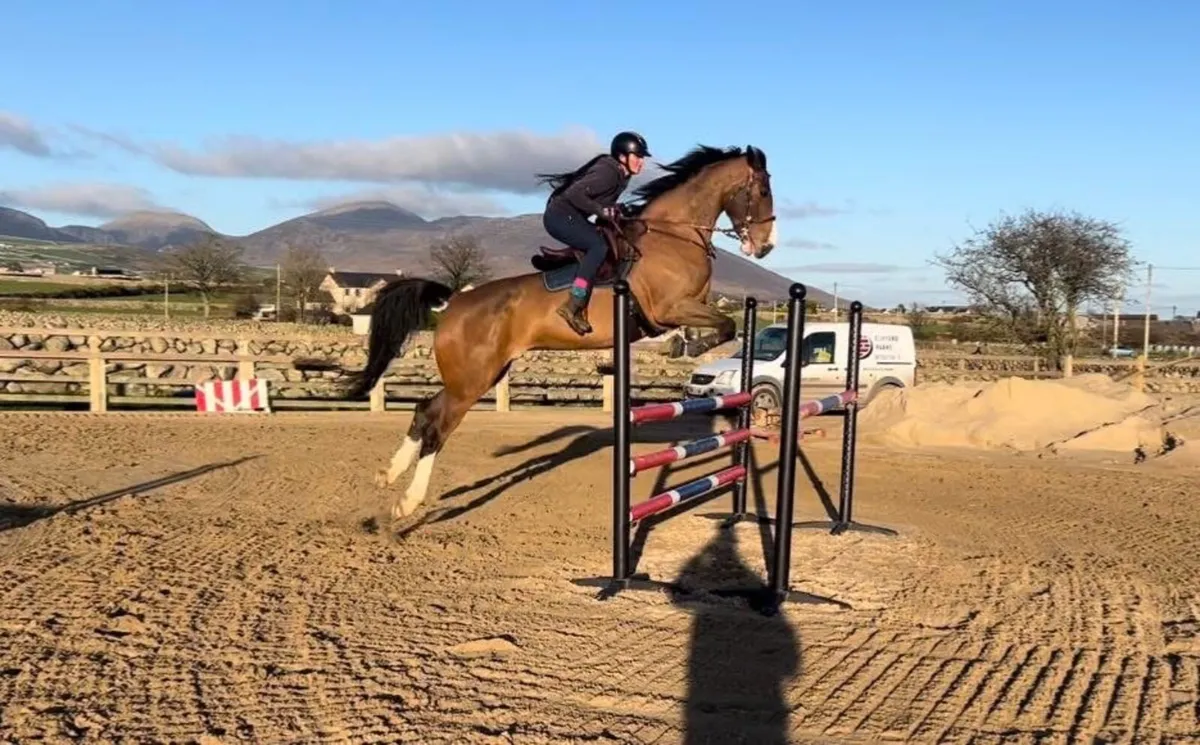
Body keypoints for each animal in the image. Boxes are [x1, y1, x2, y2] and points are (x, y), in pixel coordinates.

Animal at [346, 144, 778, 521]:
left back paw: (388, 475)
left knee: (424, 411)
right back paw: (408, 502)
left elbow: (723, 325)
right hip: (472, 380)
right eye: (762, 191)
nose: (766, 247)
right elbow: (725, 326)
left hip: (478, 374)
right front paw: (684, 348)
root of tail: (453, 303)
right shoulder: (669, 308)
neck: (673, 234)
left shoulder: (686, 308)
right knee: (438, 427)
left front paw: (685, 347)